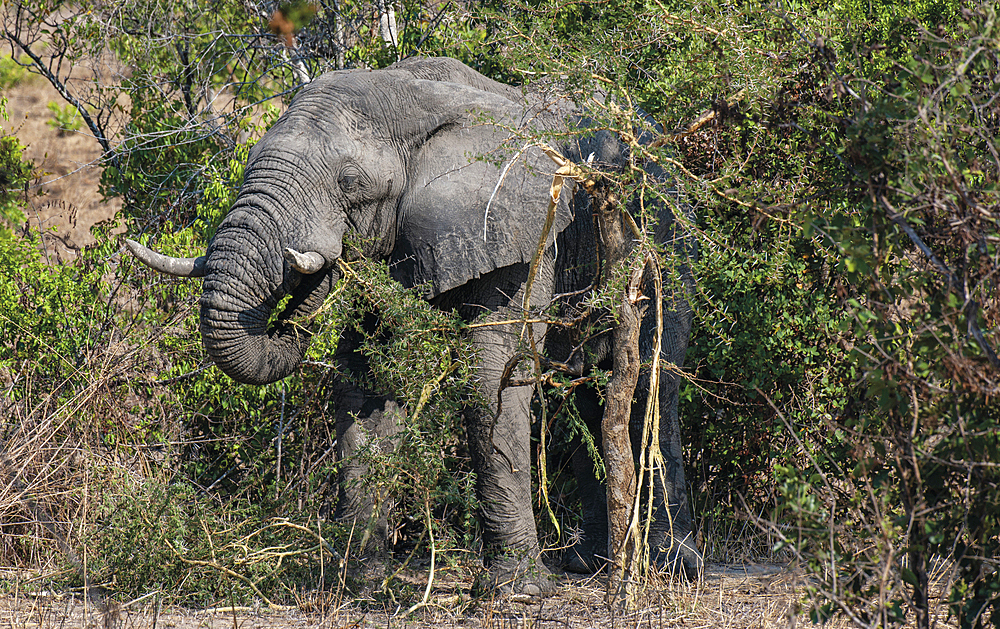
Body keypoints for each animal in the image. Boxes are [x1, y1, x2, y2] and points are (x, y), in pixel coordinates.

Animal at [127, 56, 704, 596]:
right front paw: (359, 583)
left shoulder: (521, 224)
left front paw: (516, 590)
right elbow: (366, 379)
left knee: (650, 384)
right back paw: (588, 564)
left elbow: (491, 374)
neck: (411, 96)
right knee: (583, 393)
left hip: (667, 244)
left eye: (350, 183)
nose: (307, 270)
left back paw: (671, 567)